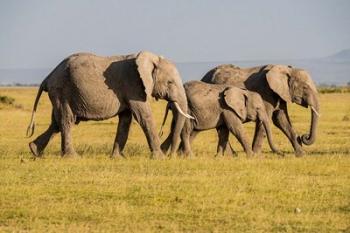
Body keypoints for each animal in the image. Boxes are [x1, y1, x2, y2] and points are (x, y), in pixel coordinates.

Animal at [26, 51, 193, 158]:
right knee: (66, 121)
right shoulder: (134, 86)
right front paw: (160, 158)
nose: (171, 156)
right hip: (62, 90)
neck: (150, 59)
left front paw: (118, 158)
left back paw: (34, 151)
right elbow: (144, 117)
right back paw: (72, 157)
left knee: (57, 122)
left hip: (60, 93)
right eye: (170, 82)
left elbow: (126, 120)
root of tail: (48, 77)